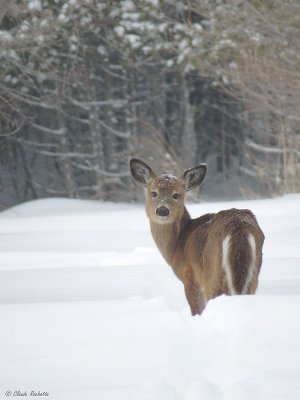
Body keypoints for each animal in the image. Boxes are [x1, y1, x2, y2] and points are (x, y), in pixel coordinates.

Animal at [130, 158, 264, 318]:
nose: (162, 210)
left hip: (212, 274)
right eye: (154, 193)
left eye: (176, 195)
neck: (178, 244)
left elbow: (196, 310)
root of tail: (239, 225)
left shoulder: (190, 277)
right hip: (253, 275)